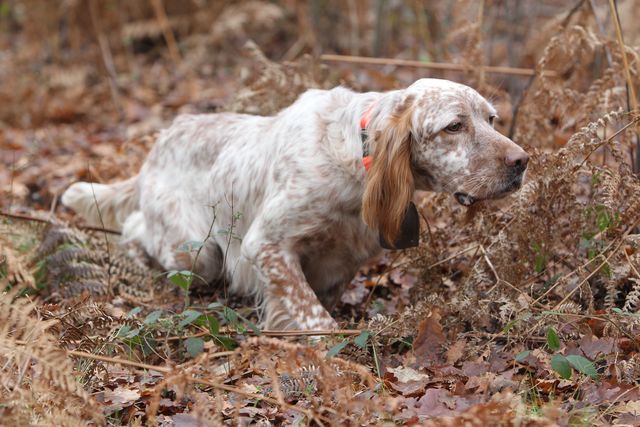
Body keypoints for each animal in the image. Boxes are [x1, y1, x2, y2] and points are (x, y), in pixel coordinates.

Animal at [62, 77, 528, 332]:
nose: (522, 162)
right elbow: (314, 317)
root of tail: (157, 147)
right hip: (195, 254)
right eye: (454, 126)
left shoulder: (343, 260)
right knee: (135, 229)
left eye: (491, 119)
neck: (356, 159)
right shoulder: (264, 245)